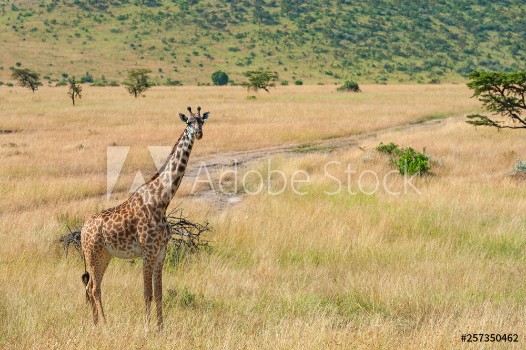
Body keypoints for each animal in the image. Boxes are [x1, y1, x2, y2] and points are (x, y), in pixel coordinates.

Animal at [80, 106, 210, 328]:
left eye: (202, 121)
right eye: (188, 122)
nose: (199, 134)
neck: (162, 201)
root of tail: (81, 230)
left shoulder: (161, 253)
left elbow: (159, 294)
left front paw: (160, 327)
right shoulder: (147, 253)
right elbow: (147, 293)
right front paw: (147, 327)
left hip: (104, 255)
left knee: (91, 287)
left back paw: (95, 325)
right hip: (92, 254)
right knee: (94, 288)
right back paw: (105, 325)